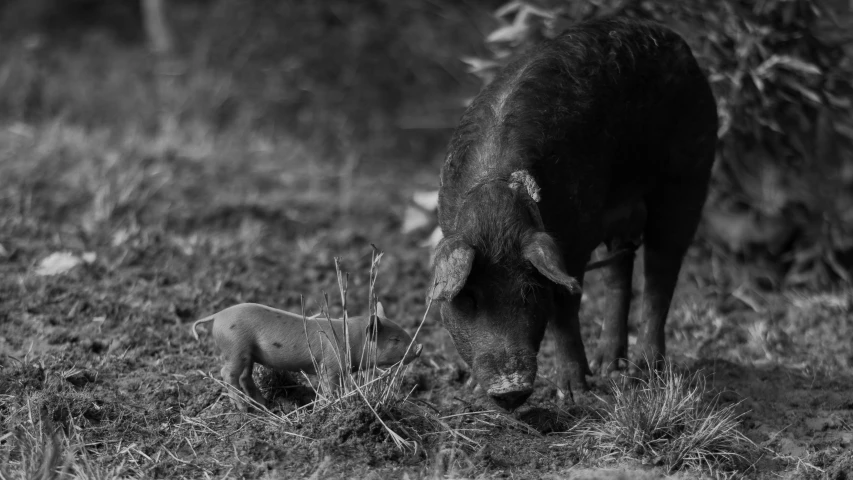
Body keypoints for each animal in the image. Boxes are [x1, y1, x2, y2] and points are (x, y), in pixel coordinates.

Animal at [430, 16, 716, 410]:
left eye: (529, 294)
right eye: (469, 298)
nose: (510, 389)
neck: (495, 202)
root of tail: (683, 48)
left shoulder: (572, 241)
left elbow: (565, 309)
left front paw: (573, 395)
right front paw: (471, 390)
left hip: (687, 179)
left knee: (661, 273)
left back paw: (642, 373)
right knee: (620, 272)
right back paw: (609, 365)